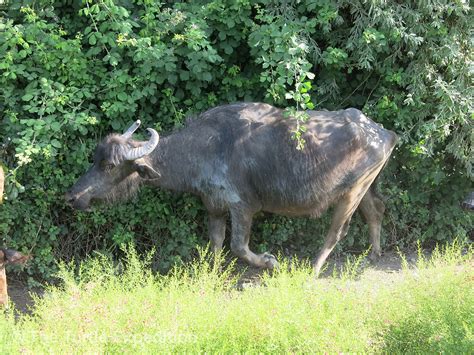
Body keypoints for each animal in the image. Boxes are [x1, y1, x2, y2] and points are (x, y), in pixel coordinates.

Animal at [65, 103, 398, 276]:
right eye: (95, 158)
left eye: (109, 166)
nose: (72, 196)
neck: (205, 148)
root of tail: (383, 132)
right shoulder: (214, 207)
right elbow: (215, 242)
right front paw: (210, 273)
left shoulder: (243, 207)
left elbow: (238, 246)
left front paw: (270, 261)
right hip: (364, 187)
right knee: (375, 211)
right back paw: (374, 253)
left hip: (352, 192)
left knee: (336, 231)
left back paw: (313, 269)